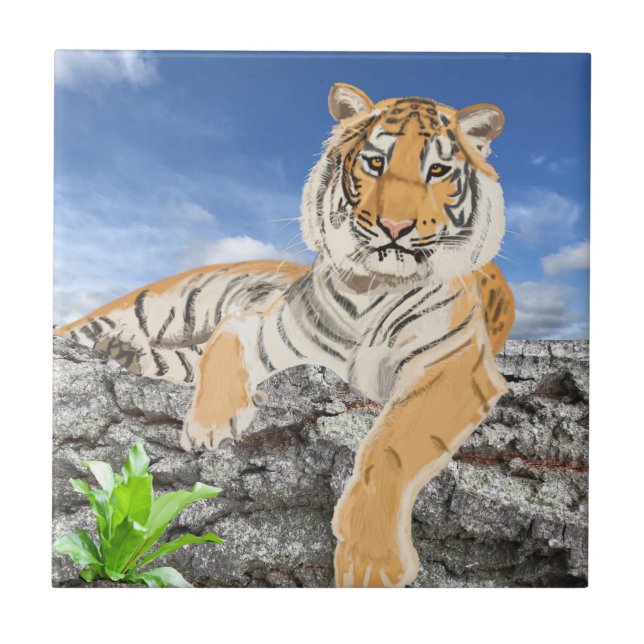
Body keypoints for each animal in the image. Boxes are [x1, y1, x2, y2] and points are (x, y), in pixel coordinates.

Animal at [54, 83, 515, 588]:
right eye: (375, 163)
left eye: (436, 171)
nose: (395, 227)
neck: (373, 287)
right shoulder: (263, 324)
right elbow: (224, 343)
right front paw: (212, 424)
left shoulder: (456, 363)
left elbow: (392, 442)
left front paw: (371, 558)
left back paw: (122, 349)